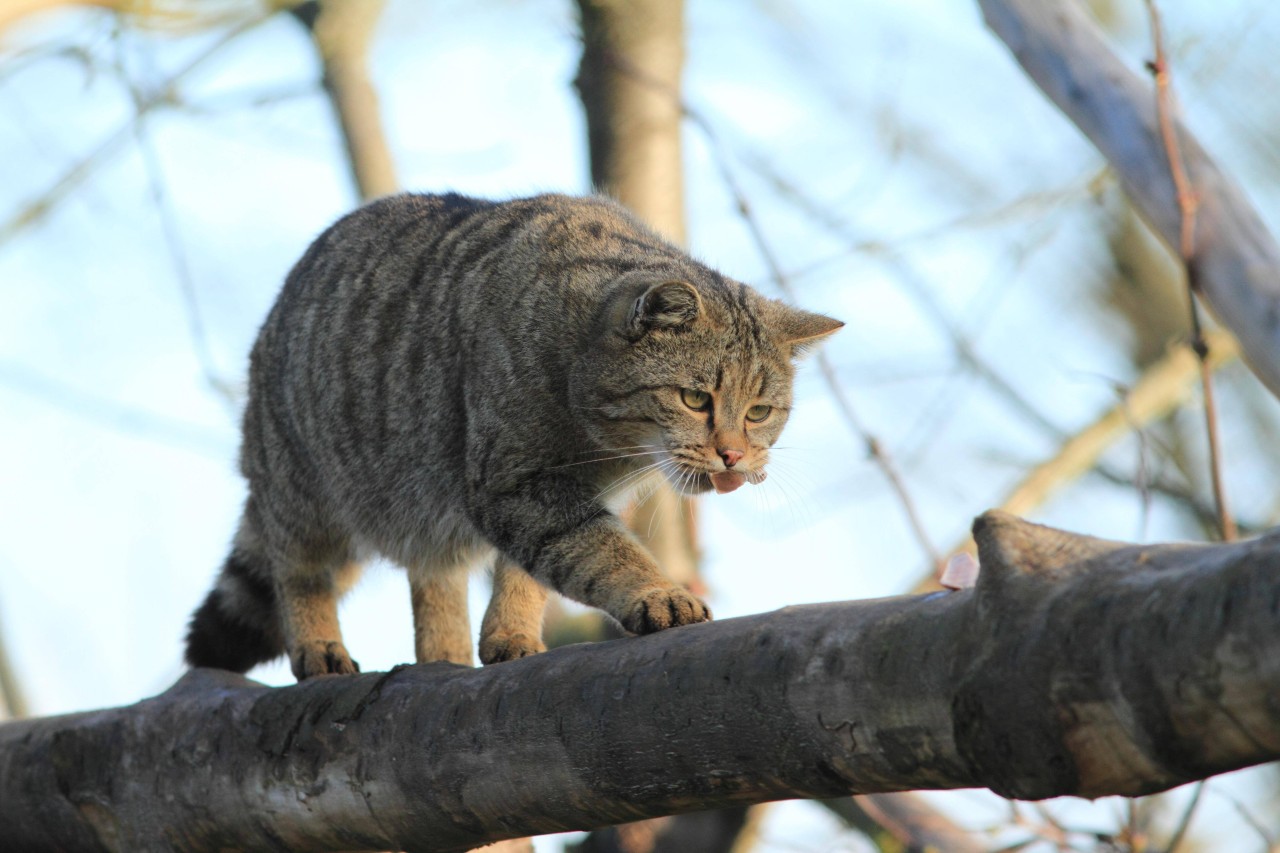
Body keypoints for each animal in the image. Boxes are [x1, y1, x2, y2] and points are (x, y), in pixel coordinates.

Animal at [180, 192, 839, 676]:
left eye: (759, 412)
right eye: (695, 399)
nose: (734, 455)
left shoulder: (545, 494)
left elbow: (533, 571)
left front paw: (511, 632)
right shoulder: (515, 483)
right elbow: (597, 547)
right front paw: (656, 592)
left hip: (419, 503)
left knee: (434, 574)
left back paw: (442, 655)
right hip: (302, 486)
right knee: (297, 568)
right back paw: (318, 646)